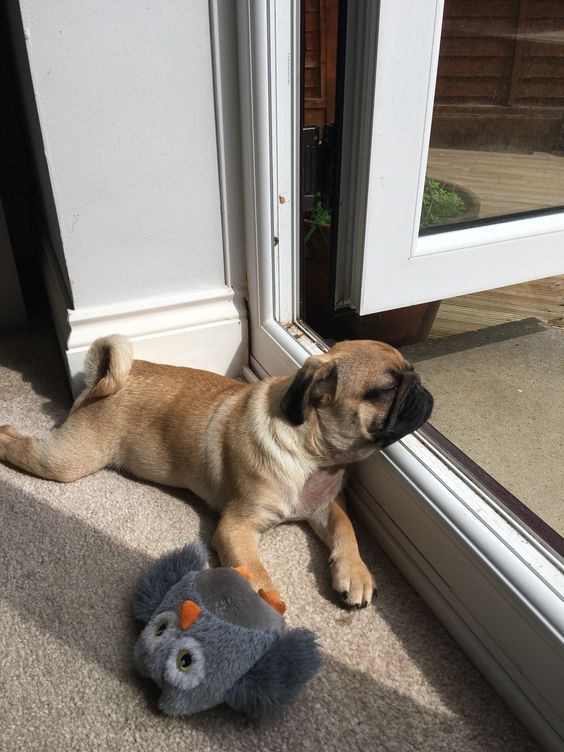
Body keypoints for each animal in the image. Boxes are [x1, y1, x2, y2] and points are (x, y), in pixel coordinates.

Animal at [0, 338, 432, 612]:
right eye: (386, 389)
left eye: (411, 374)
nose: (422, 390)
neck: (312, 453)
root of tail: (102, 381)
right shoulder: (236, 527)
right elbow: (255, 572)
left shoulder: (326, 506)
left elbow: (347, 530)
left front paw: (354, 573)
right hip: (66, 461)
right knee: (20, 445)